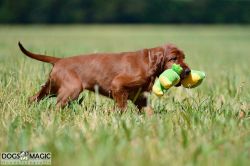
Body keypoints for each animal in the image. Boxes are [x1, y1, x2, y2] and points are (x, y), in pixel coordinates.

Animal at [18, 42, 189, 111]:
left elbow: (148, 112)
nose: (187, 72)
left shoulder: (140, 97)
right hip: (71, 89)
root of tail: (60, 60)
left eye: (184, 57)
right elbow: (121, 107)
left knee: (34, 98)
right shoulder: (118, 85)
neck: (147, 62)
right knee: (56, 106)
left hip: (52, 87)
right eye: (173, 58)